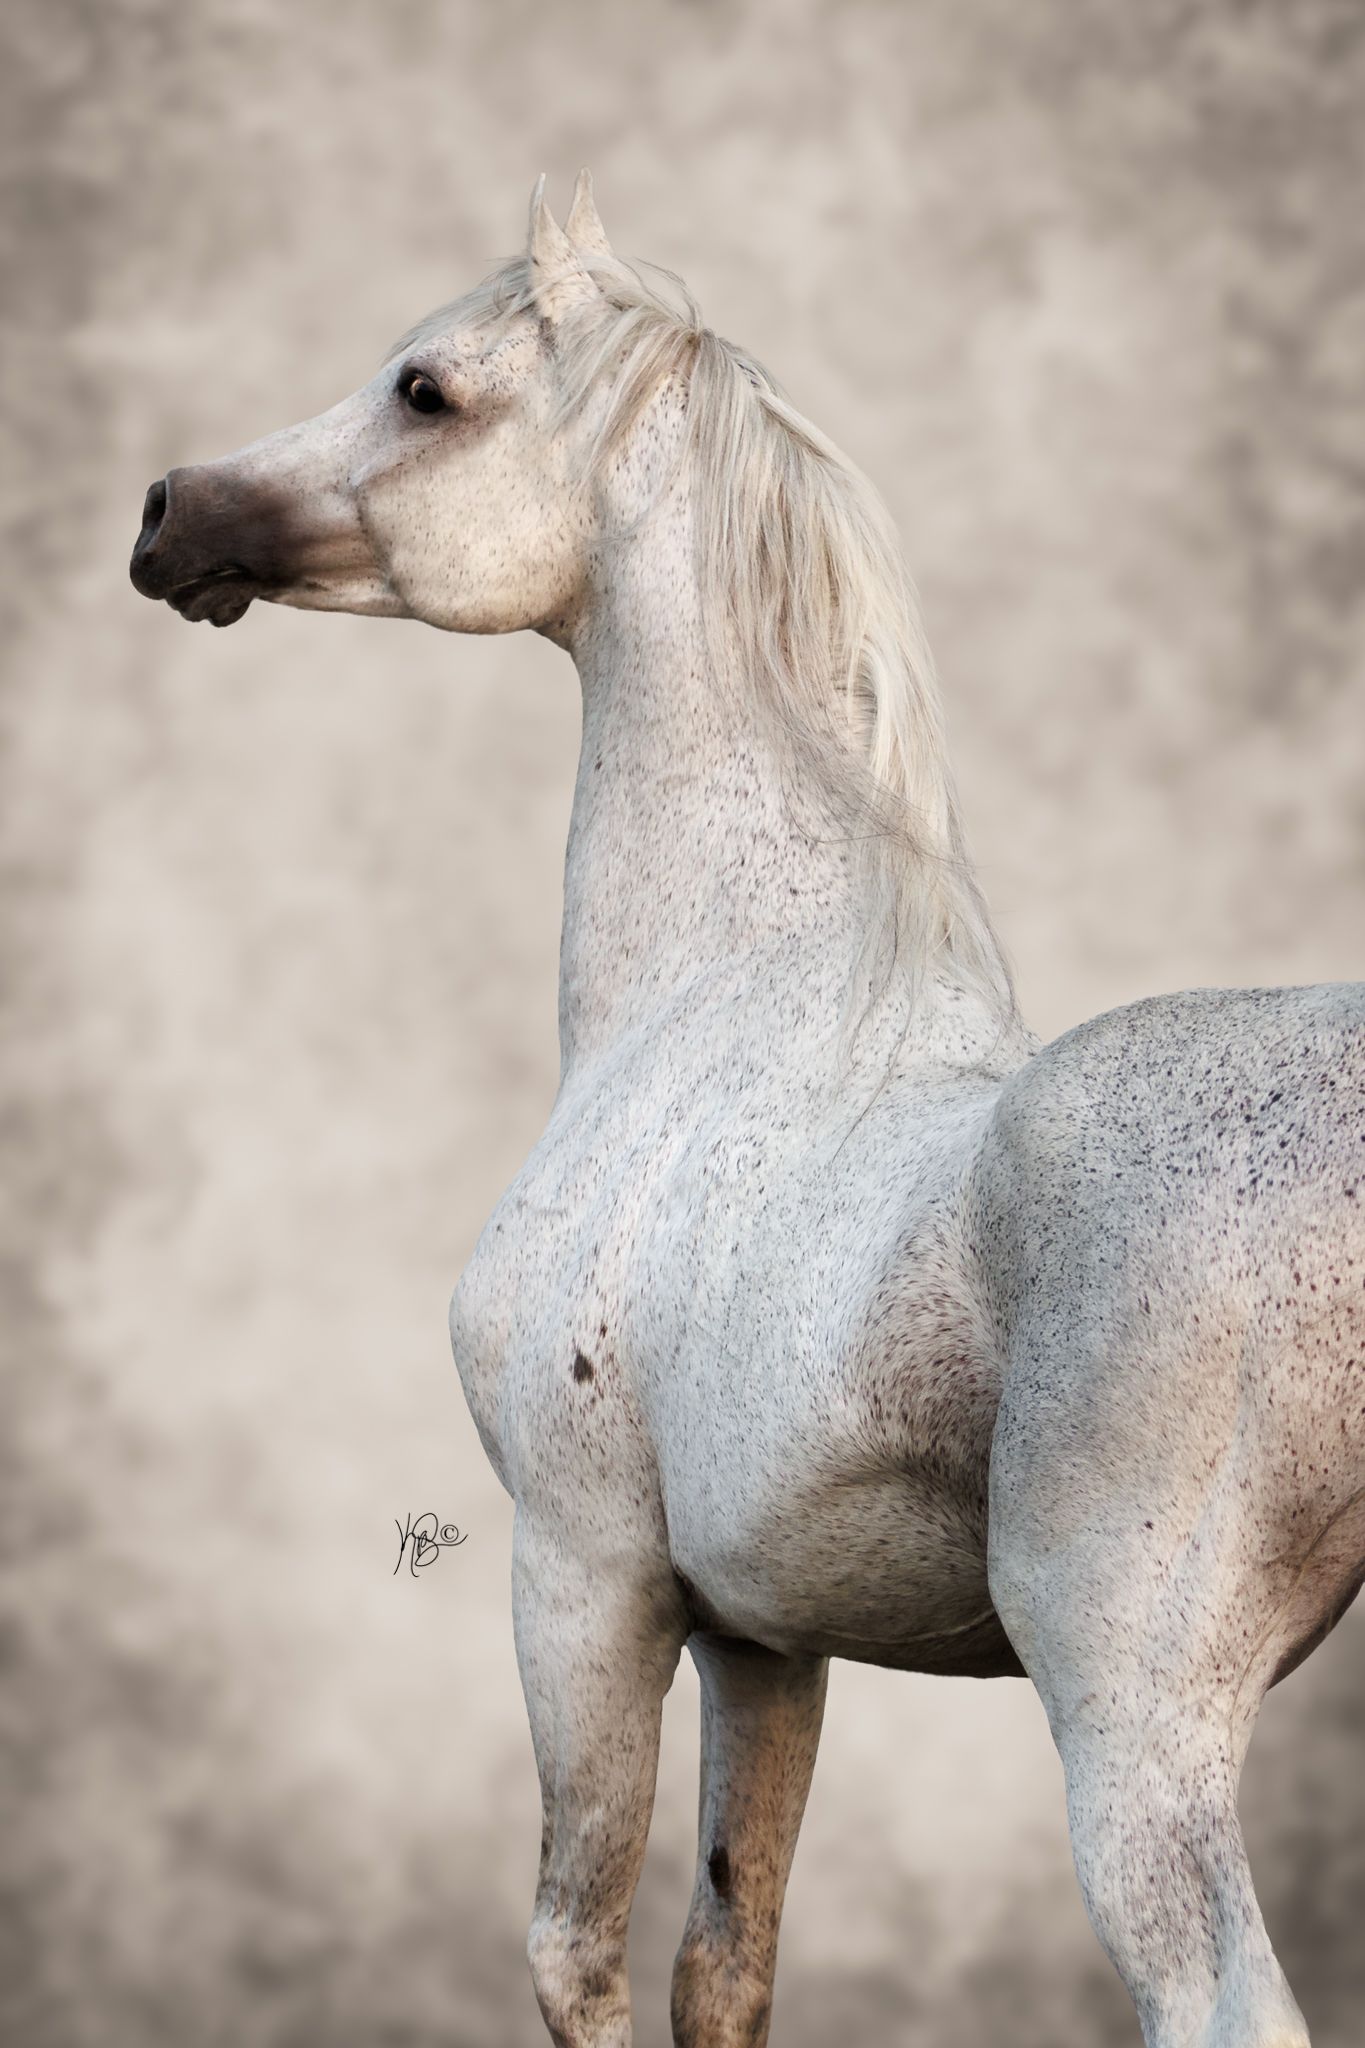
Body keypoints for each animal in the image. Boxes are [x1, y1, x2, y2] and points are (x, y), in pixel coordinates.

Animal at [129, 173, 1365, 2048]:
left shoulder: (584, 1579)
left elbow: (577, 1945)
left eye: (425, 389)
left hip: (1134, 1729)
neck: (718, 999)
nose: (168, 514)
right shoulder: (765, 1635)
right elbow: (725, 1954)